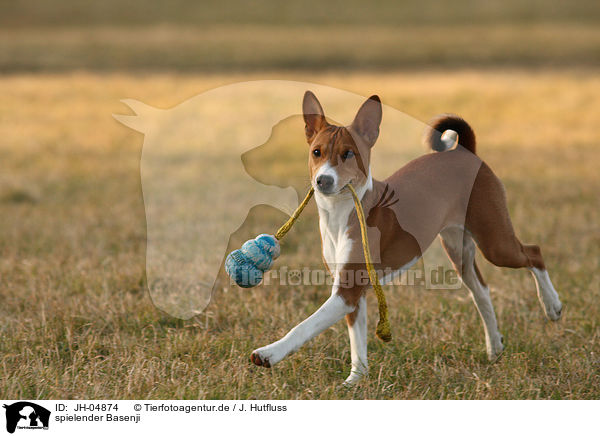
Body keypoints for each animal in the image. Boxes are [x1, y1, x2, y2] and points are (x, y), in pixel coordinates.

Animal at [250, 90, 564, 384]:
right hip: (458, 250)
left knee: (534, 253)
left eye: (349, 154)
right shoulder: (353, 291)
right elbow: (357, 342)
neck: (341, 214)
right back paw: (494, 347)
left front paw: (269, 353)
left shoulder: (347, 291)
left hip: (495, 242)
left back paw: (552, 306)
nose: (323, 181)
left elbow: (304, 327)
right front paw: (356, 380)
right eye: (317, 152)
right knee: (482, 291)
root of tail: (466, 152)